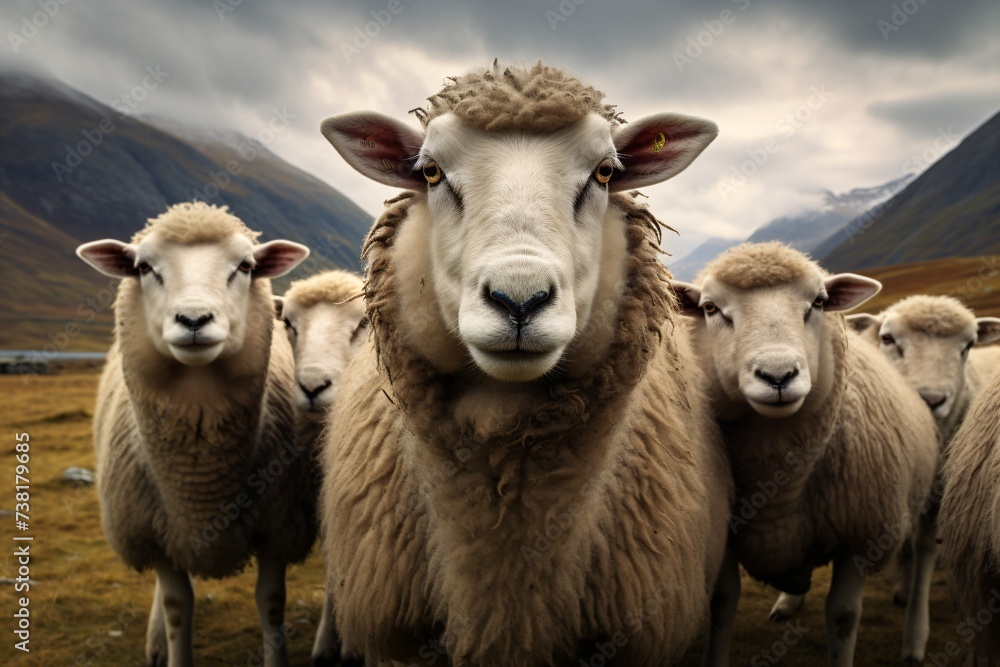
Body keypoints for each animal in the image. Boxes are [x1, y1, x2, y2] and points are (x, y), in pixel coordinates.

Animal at [75, 202, 312, 667]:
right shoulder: (156, 535)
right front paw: (169, 643)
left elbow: (271, 602)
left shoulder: (279, 529)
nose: (194, 319)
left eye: (245, 266)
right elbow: (176, 607)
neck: (201, 489)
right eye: (143, 267)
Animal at [669, 241, 939, 666]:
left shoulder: (859, 538)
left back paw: (914, 633)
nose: (778, 375)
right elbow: (722, 604)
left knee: (925, 548)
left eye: (819, 302)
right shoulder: (723, 537)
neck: (778, 485)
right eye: (710, 308)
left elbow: (842, 617)